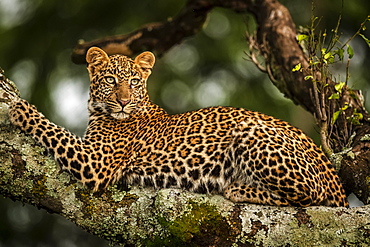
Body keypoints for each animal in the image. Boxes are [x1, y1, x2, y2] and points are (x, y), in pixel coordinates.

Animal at [9, 46, 350, 206]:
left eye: (134, 82)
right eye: (111, 80)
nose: (123, 101)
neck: (100, 111)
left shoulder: (96, 163)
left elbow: (54, 130)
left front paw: (19, 106)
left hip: (249, 130)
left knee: (312, 194)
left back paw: (238, 188)